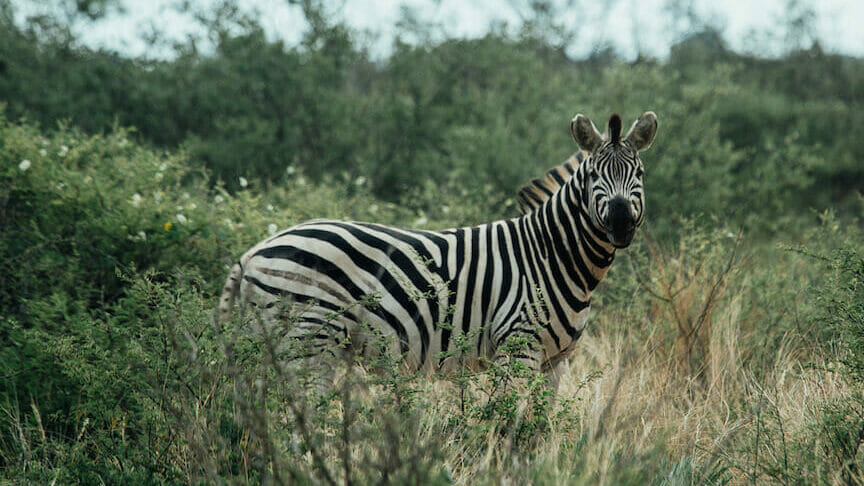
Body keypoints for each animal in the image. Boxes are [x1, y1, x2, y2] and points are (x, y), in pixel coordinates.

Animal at [219, 112, 660, 390]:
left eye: (639, 174)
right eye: (593, 175)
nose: (621, 223)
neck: (551, 256)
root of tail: (254, 251)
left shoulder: (557, 361)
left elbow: (536, 432)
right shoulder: (517, 347)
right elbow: (508, 425)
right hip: (309, 341)